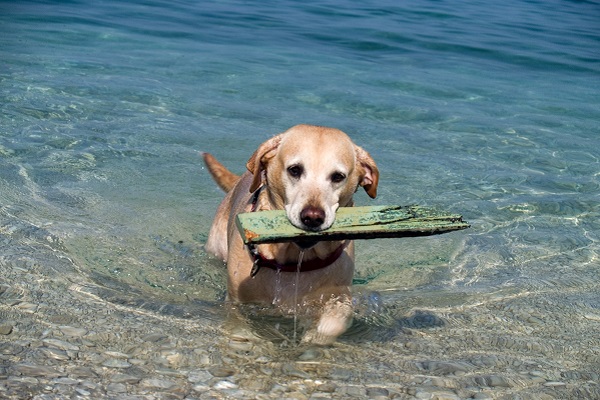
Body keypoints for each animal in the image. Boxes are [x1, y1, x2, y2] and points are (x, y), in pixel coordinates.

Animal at [204, 124, 378, 344]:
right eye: (295, 170)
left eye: (338, 176)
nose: (312, 217)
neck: (293, 260)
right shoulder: (237, 302)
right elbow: (240, 327)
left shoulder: (337, 298)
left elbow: (333, 323)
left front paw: (311, 340)